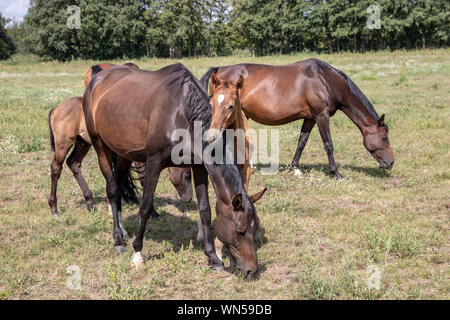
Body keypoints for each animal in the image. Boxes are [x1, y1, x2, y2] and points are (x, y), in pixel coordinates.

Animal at [83, 63, 268, 278]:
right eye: (240, 231)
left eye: (256, 228)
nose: (251, 270)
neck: (182, 113)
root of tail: (97, 78)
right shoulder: (154, 163)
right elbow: (145, 208)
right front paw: (137, 254)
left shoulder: (198, 167)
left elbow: (204, 210)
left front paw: (213, 258)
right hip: (100, 146)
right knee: (112, 189)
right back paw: (118, 239)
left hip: (123, 154)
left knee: (118, 185)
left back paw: (122, 229)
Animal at [200, 58, 394, 179]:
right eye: (384, 137)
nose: (391, 163)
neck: (325, 79)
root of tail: (219, 69)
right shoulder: (322, 116)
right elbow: (328, 145)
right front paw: (336, 173)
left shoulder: (310, 118)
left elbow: (302, 141)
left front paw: (295, 167)